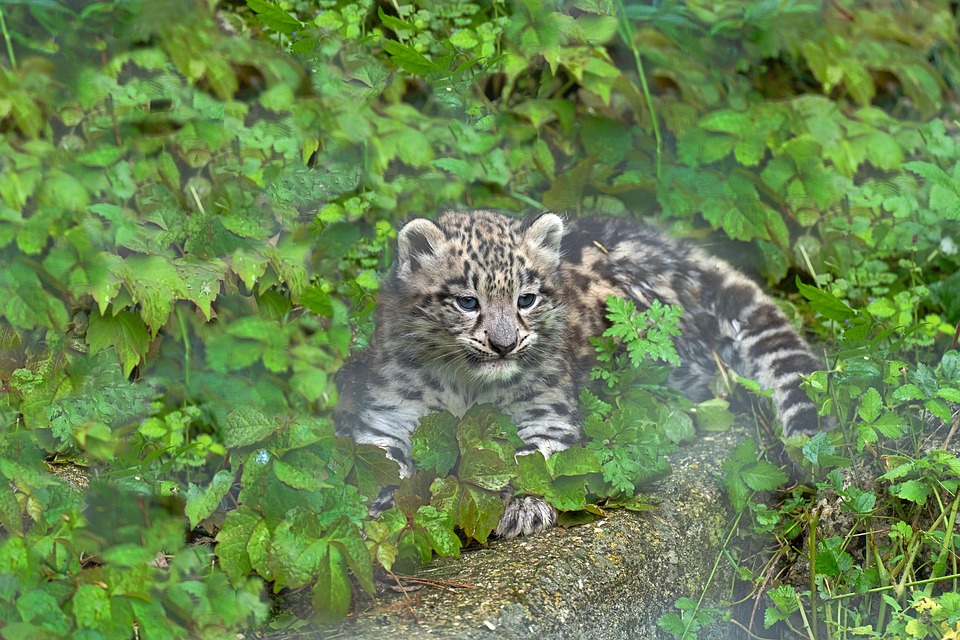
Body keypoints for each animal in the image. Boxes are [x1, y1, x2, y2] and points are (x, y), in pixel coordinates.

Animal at [335, 210, 828, 539]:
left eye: (526, 298)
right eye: (467, 301)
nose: (504, 344)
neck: (466, 387)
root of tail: (675, 249)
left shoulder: (545, 405)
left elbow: (537, 457)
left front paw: (524, 508)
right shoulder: (392, 410)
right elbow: (379, 460)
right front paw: (381, 507)